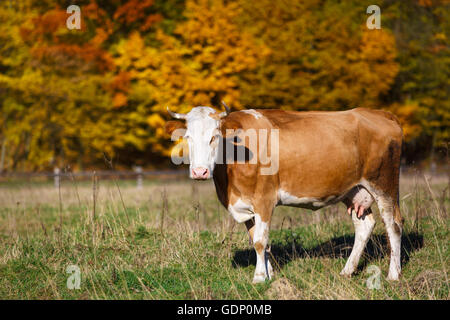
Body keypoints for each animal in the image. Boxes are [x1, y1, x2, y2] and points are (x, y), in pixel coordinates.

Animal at [165, 104, 404, 284]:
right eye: (188, 136)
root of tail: (381, 114)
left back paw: (393, 274)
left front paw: (259, 277)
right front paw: (269, 274)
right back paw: (347, 270)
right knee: (364, 226)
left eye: (214, 136)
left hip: (384, 185)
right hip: (354, 190)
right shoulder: (245, 205)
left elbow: (260, 241)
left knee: (393, 225)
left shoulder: (264, 200)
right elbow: (257, 239)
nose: (200, 172)